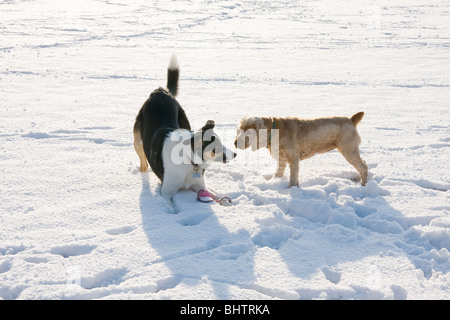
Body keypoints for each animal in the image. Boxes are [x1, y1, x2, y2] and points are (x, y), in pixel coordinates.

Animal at [133, 55, 236, 205]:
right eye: (215, 147)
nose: (235, 154)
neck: (189, 160)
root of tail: (160, 91)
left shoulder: (199, 186)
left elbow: (215, 196)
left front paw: (226, 203)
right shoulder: (166, 193)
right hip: (137, 141)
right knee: (143, 163)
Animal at [234, 112, 368, 188]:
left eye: (247, 133)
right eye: (239, 130)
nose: (234, 143)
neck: (274, 131)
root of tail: (351, 120)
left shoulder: (293, 159)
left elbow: (293, 179)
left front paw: (291, 190)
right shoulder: (282, 160)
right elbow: (278, 173)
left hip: (348, 150)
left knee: (363, 167)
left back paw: (364, 185)